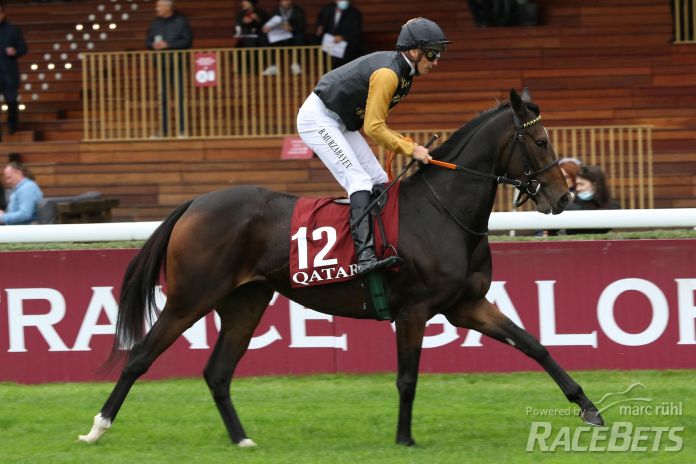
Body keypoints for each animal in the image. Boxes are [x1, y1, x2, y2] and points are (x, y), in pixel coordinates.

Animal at [78, 88, 604, 448]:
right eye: (539, 140)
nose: (563, 199)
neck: (443, 212)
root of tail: (195, 202)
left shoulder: (467, 306)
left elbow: (535, 345)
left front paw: (589, 409)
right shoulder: (414, 311)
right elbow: (408, 378)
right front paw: (405, 439)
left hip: (245, 301)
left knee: (218, 372)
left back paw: (242, 439)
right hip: (191, 296)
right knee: (141, 355)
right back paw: (97, 428)